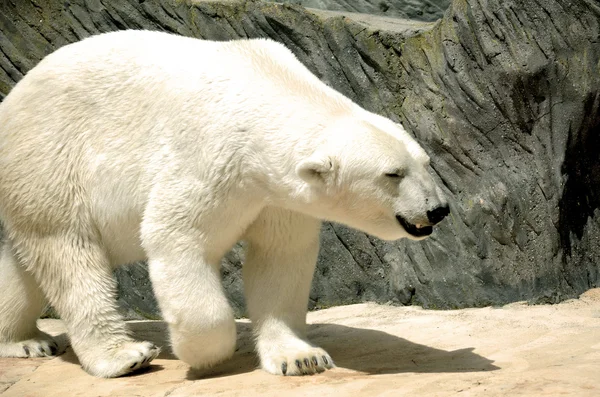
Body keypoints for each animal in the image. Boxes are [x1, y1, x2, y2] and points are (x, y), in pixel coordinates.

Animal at [0, 29, 448, 376]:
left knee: (25, 267)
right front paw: (200, 352)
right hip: (49, 162)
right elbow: (177, 236)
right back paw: (125, 356)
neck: (260, 87)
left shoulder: (278, 195)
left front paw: (301, 358)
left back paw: (26, 341)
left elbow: (281, 258)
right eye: (392, 174)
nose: (438, 209)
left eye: (426, 162)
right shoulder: (210, 156)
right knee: (69, 255)